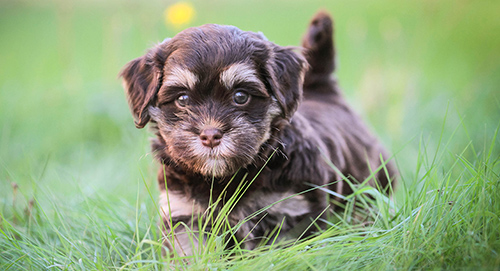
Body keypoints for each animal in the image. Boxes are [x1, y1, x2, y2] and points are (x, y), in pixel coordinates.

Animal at [120, 11, 394, 258]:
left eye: (241, 96)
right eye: (183, 99)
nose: (210, 135)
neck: (226, 177)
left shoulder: (293, 211)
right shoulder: (185, 215)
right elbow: (190, 253)